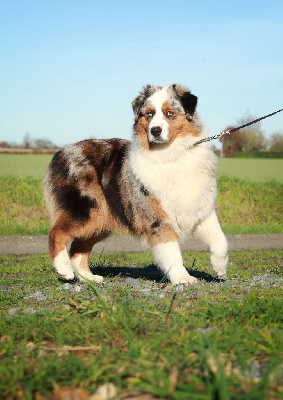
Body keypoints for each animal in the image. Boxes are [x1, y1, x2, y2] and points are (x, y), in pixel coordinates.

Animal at [45, 84, 231, 284]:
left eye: (169, 113)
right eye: (149, 114)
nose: (155, 130)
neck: (171, 154)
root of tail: (61, 152)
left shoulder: (200, 209)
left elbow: (220, 240)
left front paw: (220, 268)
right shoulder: (158, 218)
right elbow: (172, 252)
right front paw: (183, 278)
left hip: (100, 219)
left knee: (78, 249)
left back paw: (89, 278)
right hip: (86, 210)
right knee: (56, 233)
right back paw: (64, 269)